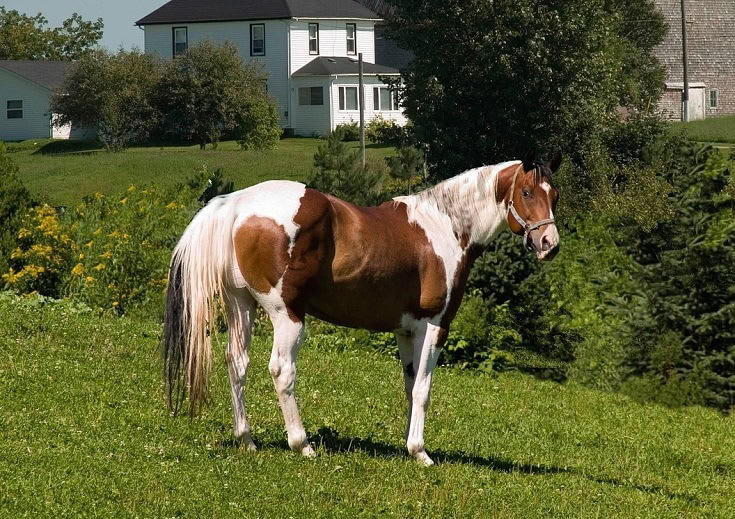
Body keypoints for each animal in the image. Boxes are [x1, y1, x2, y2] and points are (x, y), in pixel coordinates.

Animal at [163, 150, 562, 466]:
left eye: (554, 195)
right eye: (527, 192)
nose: (549, 243)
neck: (445, 226)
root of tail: (237, 204)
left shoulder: (407, 331)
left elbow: (409, 384)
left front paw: (408, 446)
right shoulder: (434, 326)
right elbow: (423, 389)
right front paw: (420, 452)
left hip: (241, 306)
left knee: (237, 364)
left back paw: (246, 439)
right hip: (286, 315)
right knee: (281, 370)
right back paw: (301, 444)